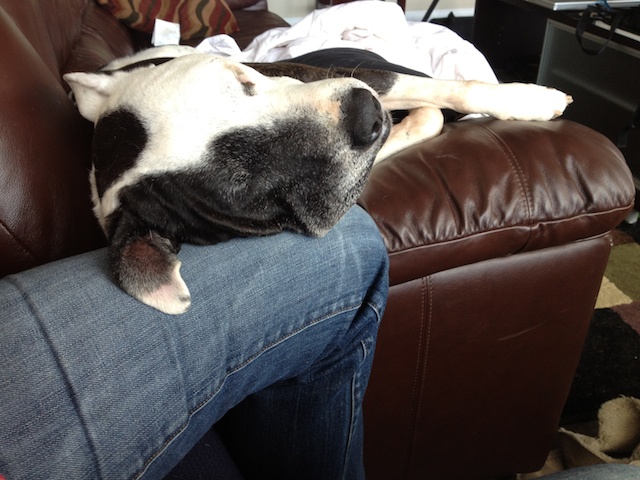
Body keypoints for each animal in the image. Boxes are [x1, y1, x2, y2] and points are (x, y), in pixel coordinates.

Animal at [64, 46, 571, 315]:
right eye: (260, 198)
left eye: (244, 81)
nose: (365, 118)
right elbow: (416, 123)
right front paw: (407, 125)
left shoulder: (323, 74)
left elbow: (440, 89)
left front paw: (527, 99)